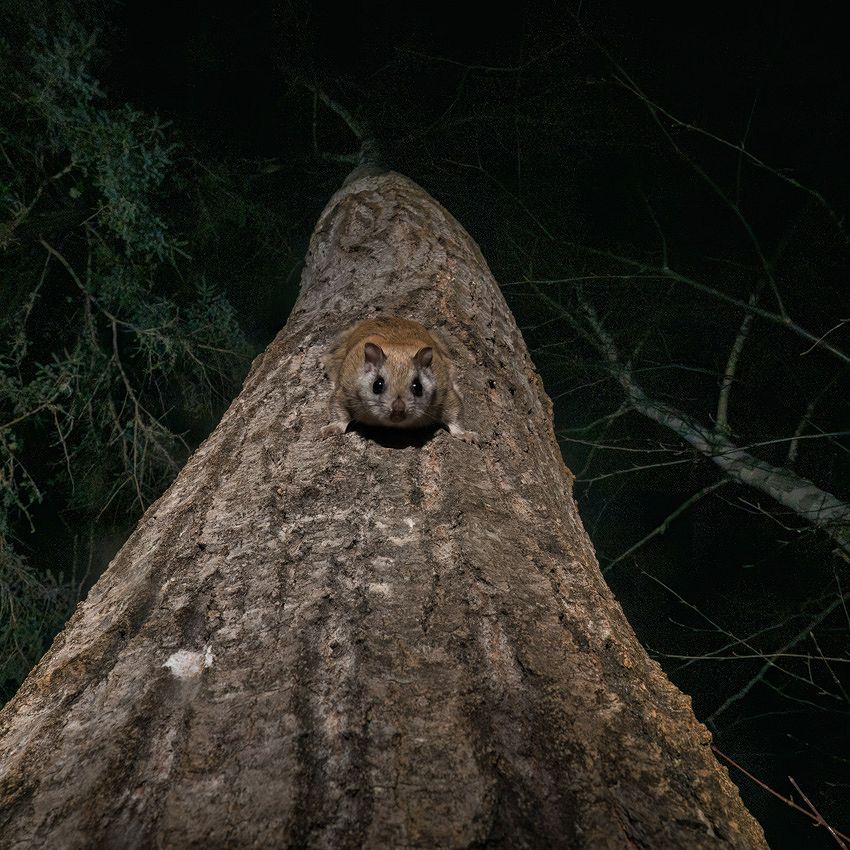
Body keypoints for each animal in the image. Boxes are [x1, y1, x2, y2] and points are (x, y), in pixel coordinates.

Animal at [320, 317, 479, 443]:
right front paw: (332, 428)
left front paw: (465, 434)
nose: (398, 410)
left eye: (418, 387)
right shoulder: (345, 388)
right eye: (377, 385)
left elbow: (455, 413)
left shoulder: (444, 391)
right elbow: (337, 408)